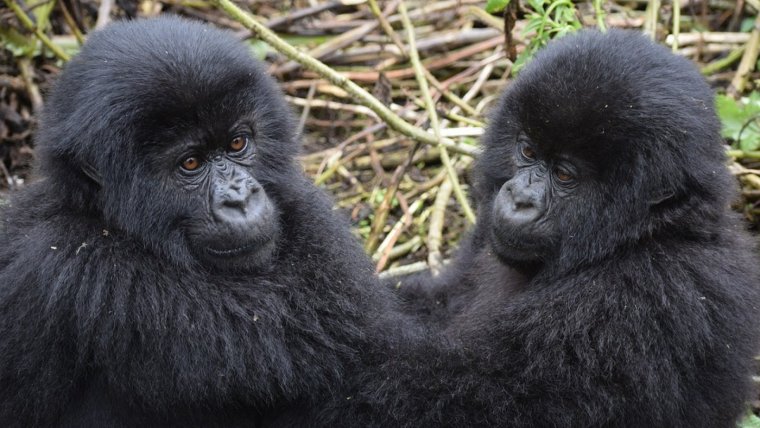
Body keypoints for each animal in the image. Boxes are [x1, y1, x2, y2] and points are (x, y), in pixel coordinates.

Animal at [308, 29, 760, 428]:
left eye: (563, 175)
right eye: (527, 151)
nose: (520, 198)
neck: (646, 233)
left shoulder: (640, 299)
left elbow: (440, 398)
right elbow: (435, 303)